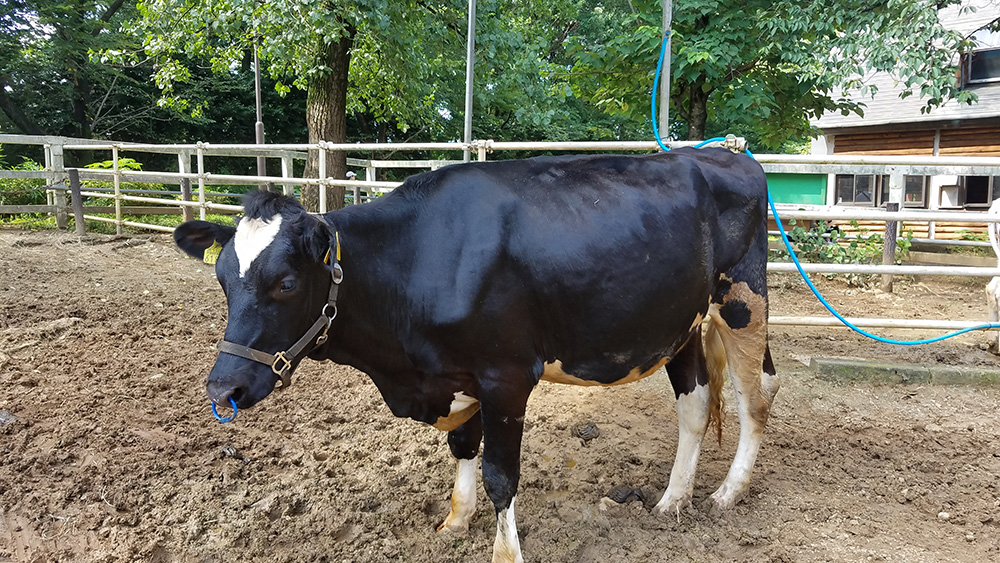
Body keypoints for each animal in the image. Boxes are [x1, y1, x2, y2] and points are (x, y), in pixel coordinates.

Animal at [176, 148, 776, 560]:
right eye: (222, 279)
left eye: (284, 283)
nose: (222, 389)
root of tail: (723, 153)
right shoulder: (453, 374)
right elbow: (464, 448)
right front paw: (454, 523)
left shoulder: (505, 376)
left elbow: (499, 474)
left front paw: (504, 552)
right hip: (680, 323)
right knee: (695, 404)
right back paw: (673, 500)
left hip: (743, 300)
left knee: (758, 395)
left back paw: (728, 492)